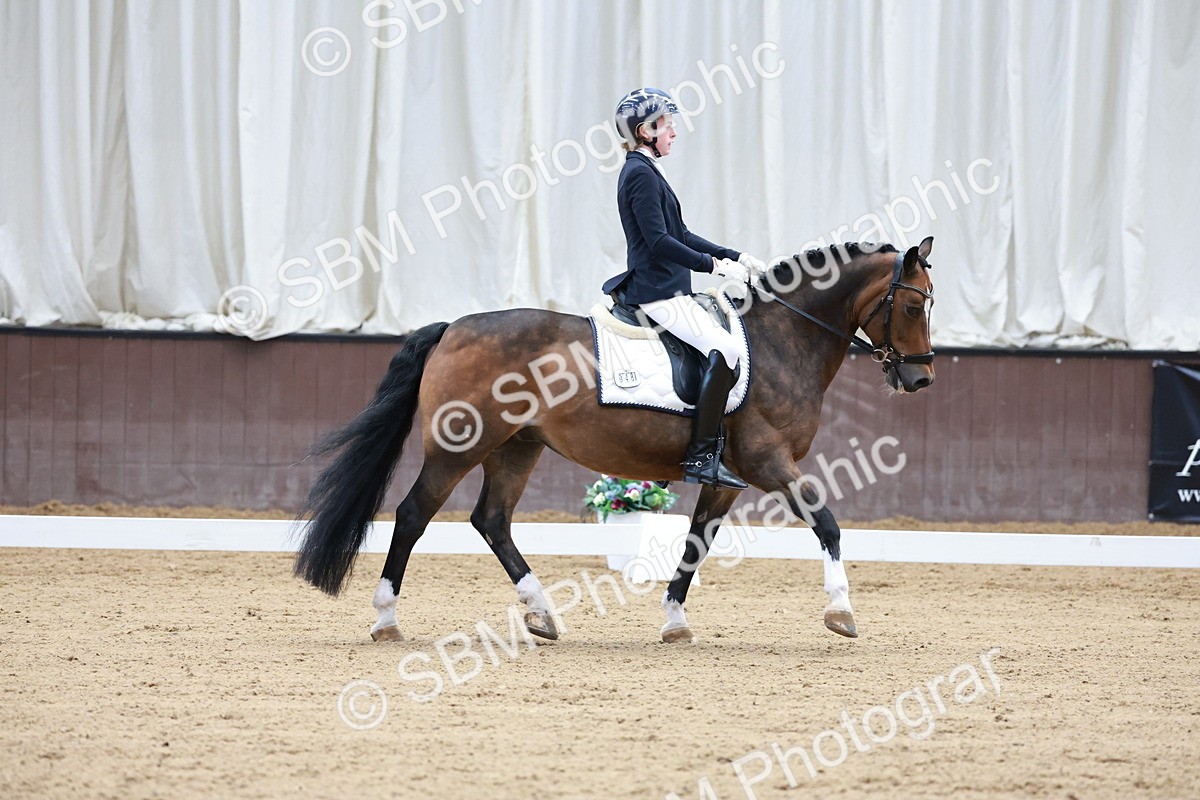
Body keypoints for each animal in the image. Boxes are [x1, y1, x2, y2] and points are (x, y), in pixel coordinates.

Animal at [294, 237, 936, 644]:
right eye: (911, 305)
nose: (920, 379)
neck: (785, 339)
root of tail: (453, 328)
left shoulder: (727, 479)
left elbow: (696, 543)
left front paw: (674, 623)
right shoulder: (767, 461)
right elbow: (827, 522)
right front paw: (841, 612)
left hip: (518, 446)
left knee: (492, 520)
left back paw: (543, 615)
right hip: (459, 447)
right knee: (412, 515)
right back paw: (386, 621)